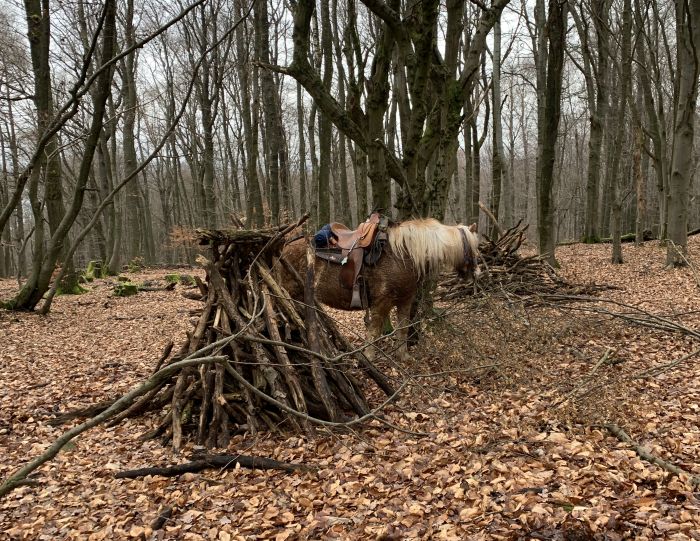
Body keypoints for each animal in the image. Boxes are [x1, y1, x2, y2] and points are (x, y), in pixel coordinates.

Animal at [276, 218, 478, 362]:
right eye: (473, 248)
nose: (475, 274)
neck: (404, 255)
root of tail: (283, 248)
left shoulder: (405, 300)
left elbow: (403, 328)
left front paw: (403, 356)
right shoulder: (382, 303)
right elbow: (374, 332)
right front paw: (369, 358)